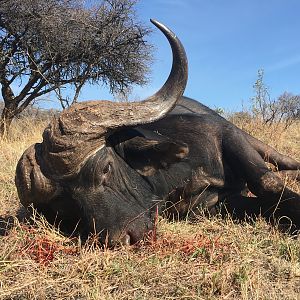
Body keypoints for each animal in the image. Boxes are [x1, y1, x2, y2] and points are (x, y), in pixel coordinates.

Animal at [15, 19, 298, 247]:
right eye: (65, 207)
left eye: (105, 168)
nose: (123, 240)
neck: (180, 175)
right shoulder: (213, 205)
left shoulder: (225, 133)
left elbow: (268, 182)